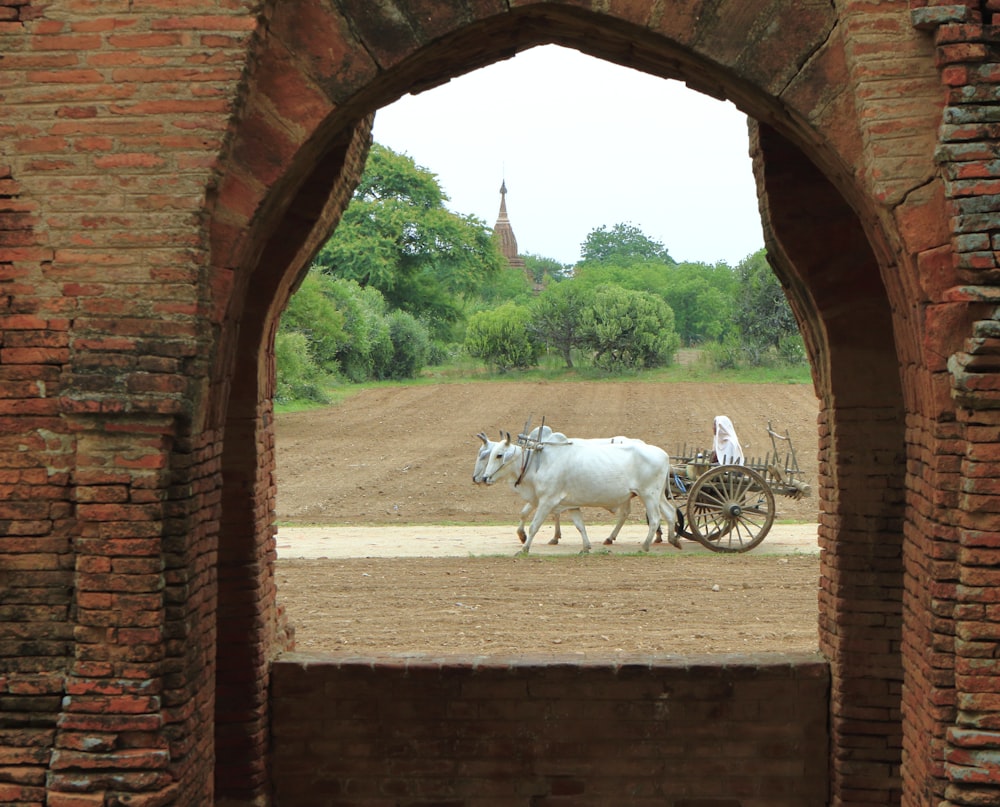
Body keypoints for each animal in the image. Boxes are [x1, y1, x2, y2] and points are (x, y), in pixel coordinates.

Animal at [478, 436, 680, 556]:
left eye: (499, 455)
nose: (484, 478)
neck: (538, 463)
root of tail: (664, 455)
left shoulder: (546, 501)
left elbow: (534, 525)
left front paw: (524, 548)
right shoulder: (571, 505)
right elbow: (580, 526)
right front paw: (585, 547)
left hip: (648, 495)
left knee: (655, 519)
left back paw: (645, 546)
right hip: (658, 496)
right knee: (671, 513)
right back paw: (674, 540)